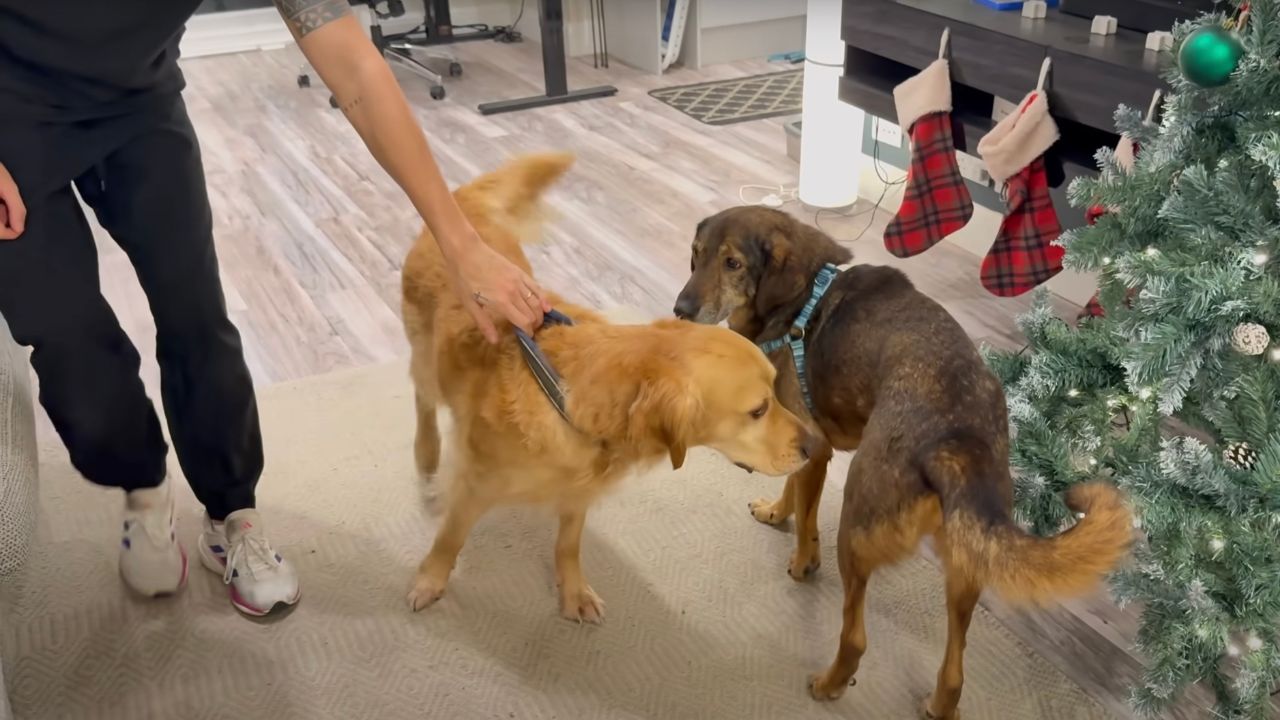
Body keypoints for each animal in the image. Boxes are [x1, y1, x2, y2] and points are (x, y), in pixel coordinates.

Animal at [401, 156, 819, 622]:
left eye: (776, 393)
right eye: (758, 410)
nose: (814, 446)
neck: (567, 397)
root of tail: (466, 208)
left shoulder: (578, 491)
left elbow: (568, 544)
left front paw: (574, 592)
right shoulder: (474, 486)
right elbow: (450, 538)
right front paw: (430, 581)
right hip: (426, 358)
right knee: (422, 399)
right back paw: (427, 452)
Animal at [670, 204, 1131, 712]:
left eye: (733, 263)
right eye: (696, 254)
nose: (680, 311)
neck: (802, 297)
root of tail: (952, 444)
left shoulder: (813, 444)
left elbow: (805, 515)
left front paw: (801, 558)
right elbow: (790, 486)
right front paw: (775, 512)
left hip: (856, 527)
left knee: (856, 638)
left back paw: (829, 684)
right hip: (967, 562)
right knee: (955, 670)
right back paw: (938, 705)